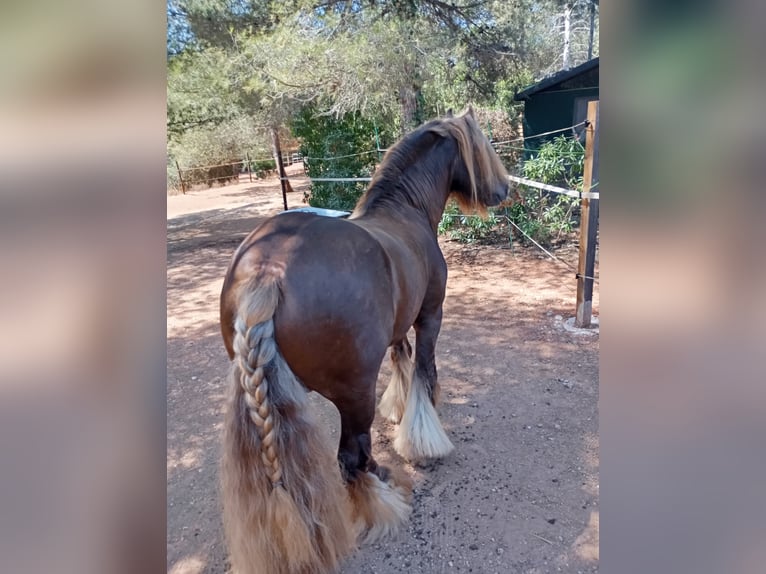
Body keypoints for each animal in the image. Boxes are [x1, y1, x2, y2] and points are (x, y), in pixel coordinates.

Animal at [219, 107, 509, 574]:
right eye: (481, 146)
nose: (504, 191)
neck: (404, 212)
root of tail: (268, 271)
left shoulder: (398, 327)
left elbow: (402, 362)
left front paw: (401, 411)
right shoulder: (430, 316)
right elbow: (424, 371)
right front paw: (425, 439)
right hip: (354, 393)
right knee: (352, 457)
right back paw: (384, 498)